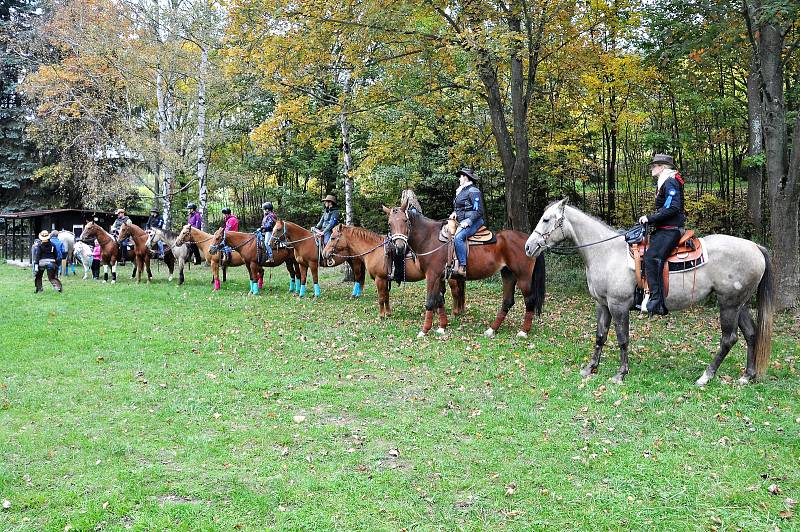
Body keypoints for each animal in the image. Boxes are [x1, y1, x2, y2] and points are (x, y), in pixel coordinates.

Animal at [322, 223, 466, 318]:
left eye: (333, 238)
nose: (324, 253)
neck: (375, 250)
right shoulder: (385, 279)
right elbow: (386, 296)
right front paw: (388, 313)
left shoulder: (379, 279)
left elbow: (381, 297)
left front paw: (381, 315)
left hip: (451, 278)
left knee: (456, 292)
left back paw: (455, 312)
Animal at [384, 197, 548, 338]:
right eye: (389, 224)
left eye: (405, 220)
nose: (399, 246)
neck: (429, 238)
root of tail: (528, 241)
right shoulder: (439, 277)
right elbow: (440, 300)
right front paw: (442, 327)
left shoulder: (432, 275)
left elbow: (430, 301)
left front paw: (424, 330)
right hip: (508, 274)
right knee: (507, 301)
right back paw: (492, 329)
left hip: (523, 278)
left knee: (530, 300)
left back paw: (523, 331)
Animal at [520, 200, 772, 386]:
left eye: (546, 219)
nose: (528, 247)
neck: (606, 252)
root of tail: (755, 247)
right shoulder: (602, 304)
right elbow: (600, 336)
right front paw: (590, 368)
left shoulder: (619, 305)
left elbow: (622, 338)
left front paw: (621, 373)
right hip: (739, 304)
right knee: (751, 334)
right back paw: (747, 375)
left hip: (728, 304)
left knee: (729, 339)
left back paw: (706, 376)